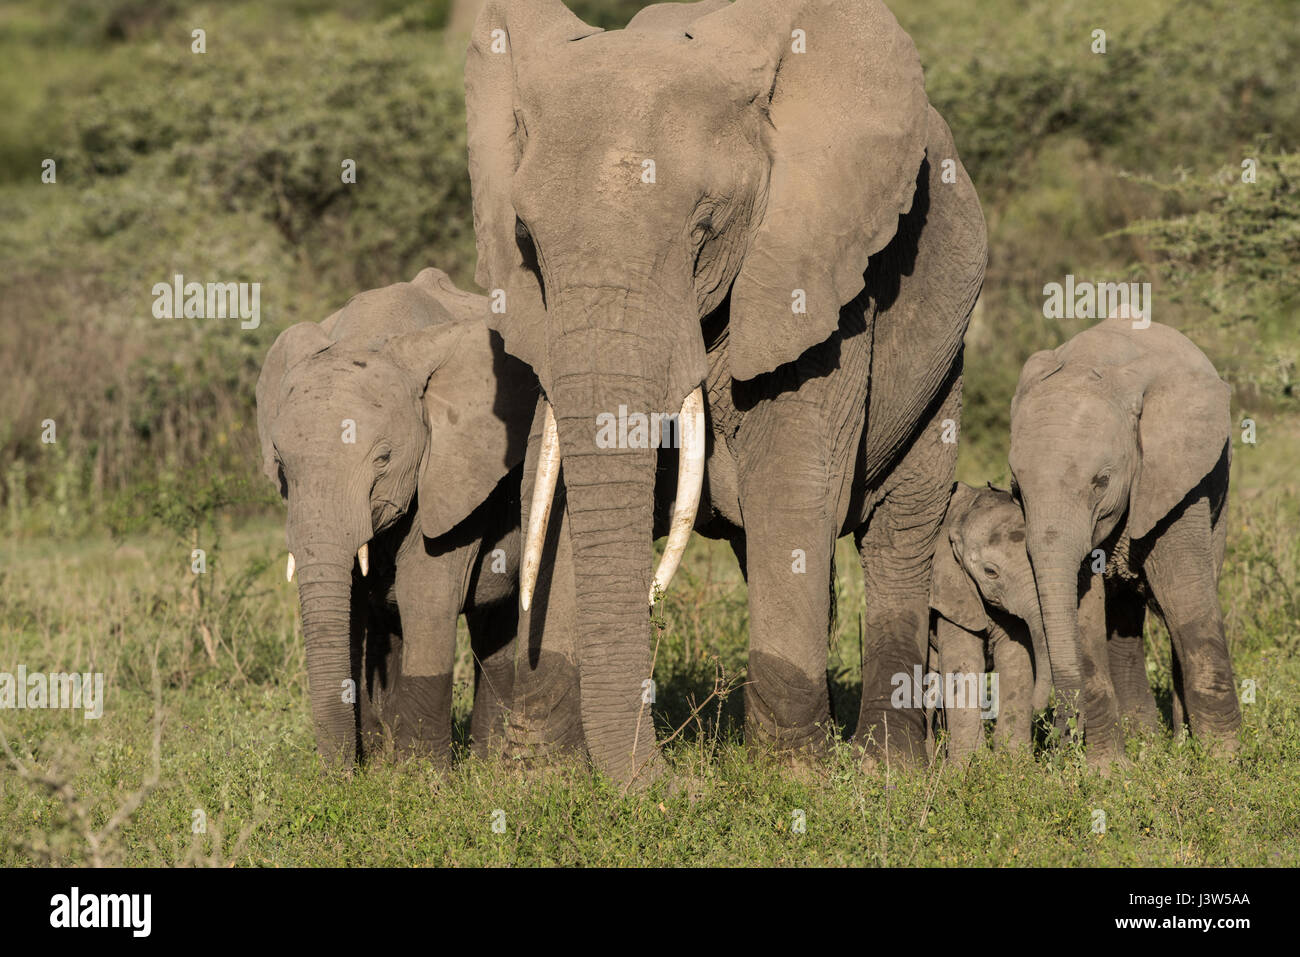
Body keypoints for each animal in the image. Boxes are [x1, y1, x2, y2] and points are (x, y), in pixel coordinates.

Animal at [256, 267, 535, 769]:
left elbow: (424, 594)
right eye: (282, 468)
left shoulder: (452, 471)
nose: (337, 780)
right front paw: (380, 767)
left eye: (384, 460)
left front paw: (420, 779)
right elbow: (355, 605)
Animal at [467, 0, 982, 785]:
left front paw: (794, 779)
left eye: (704, 226)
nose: (676, 783)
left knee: (899, 528)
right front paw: (539, 779)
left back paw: (885, 767)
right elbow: (550, 483)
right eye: (526, 237)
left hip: (944, 352)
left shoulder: (818, 270)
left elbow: (793, 486)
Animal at [930, 481, 1050, 759]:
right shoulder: (951, 590)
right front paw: (971, 764)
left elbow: (1016, 660)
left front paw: (1015, 763)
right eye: (990, 572)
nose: (1039, 707)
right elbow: (963, 661)